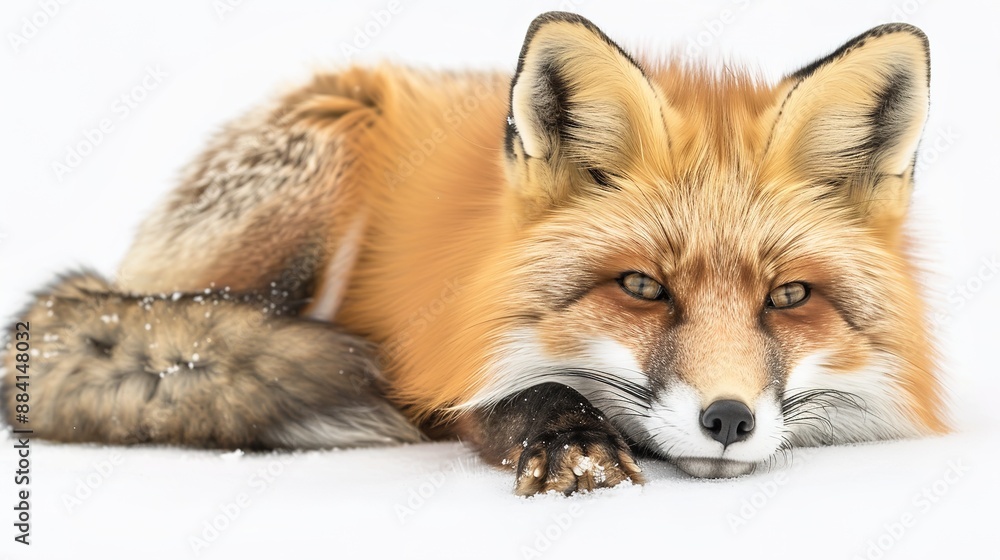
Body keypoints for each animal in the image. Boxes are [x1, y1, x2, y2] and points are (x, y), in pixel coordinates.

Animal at [2, 12, 946, 495]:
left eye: (789, 298)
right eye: (641, 286)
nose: (728, 420)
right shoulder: (453, 356)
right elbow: (517, 396)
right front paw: (567, 435)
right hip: (314, 164)